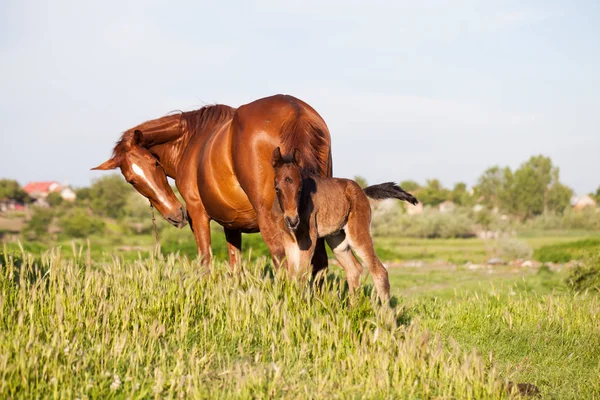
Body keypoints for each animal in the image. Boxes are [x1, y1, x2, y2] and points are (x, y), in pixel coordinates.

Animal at [272, 148, 418, 304]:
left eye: (300, 189)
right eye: (277, 188)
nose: (292, 221)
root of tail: (362, 191)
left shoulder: (307, 238)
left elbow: (301, 275)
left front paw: (300, 305)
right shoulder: (288, 239)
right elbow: (292, 275)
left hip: (357, 234)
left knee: (379, 270)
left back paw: (384, 311)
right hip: (337, 241)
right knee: (354, 269)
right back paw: (353, 307)